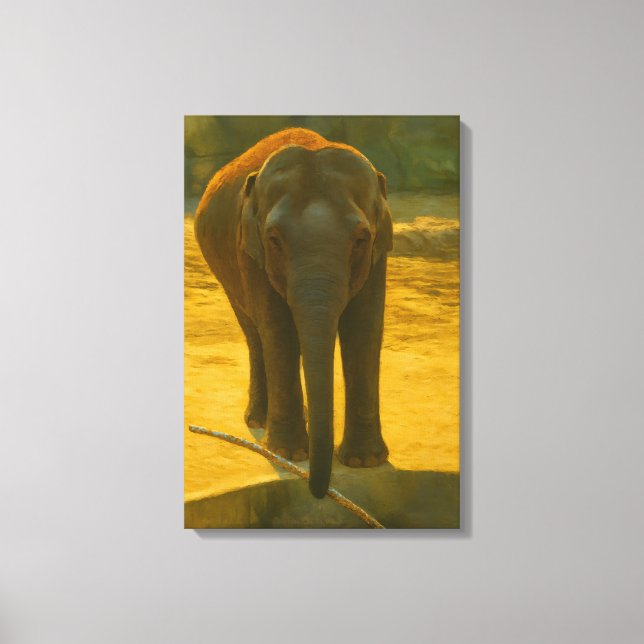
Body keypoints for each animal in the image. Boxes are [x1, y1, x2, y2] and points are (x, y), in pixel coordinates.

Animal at [194, 127, 392, 498]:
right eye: (274, 239)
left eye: (361, 239)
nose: (319, 492)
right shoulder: (251, 249)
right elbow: (278, 330)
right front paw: (288, 453)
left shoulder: (379, 252)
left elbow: (363, 329)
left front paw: (364, 462)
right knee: (254, 333)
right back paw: (258, 420)